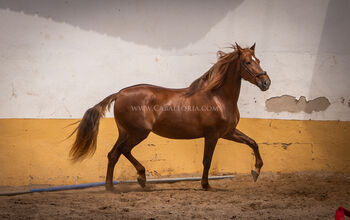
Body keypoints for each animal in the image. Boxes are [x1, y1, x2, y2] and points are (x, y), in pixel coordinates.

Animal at [68, 43, 270, 191]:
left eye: (258, 59)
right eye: (247, 62)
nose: (266, 82)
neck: (217, 97)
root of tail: (119, 93)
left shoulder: (228, 132)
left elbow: (253, 143)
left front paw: (256, 171)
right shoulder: (212, 135)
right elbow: (207, 161)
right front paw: (206, 185)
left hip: (125, 132)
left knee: (113, 154)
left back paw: (111, 187)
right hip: (138, 133)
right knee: (123, 150)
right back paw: (141, 178)